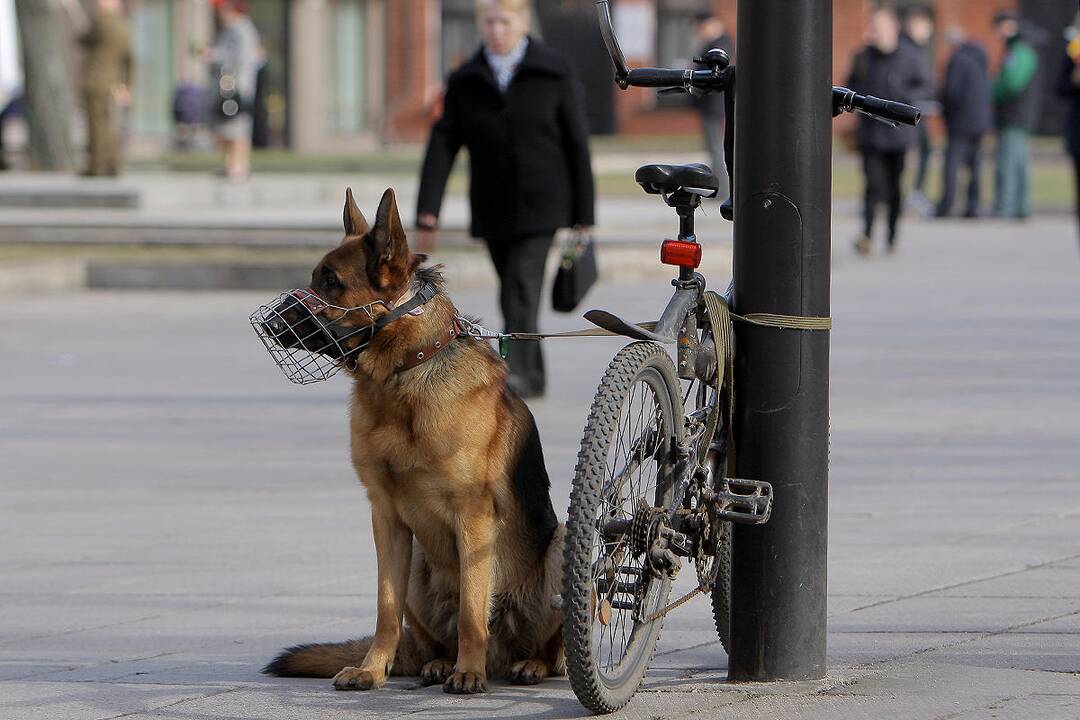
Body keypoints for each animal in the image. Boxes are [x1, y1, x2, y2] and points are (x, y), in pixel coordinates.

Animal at [263, 188, 565, 695]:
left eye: (331, 281)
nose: (270, 323)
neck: (405, 374)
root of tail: (504, 656)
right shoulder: (385, 518)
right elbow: (385, 608)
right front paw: (371, 669)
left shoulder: (474, 517)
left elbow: (472, 611)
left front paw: (468, 672)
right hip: (420, 567)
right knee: (426, 639)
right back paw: (438, 662)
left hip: (562, 550)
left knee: (549, 646)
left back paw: (524, 665)